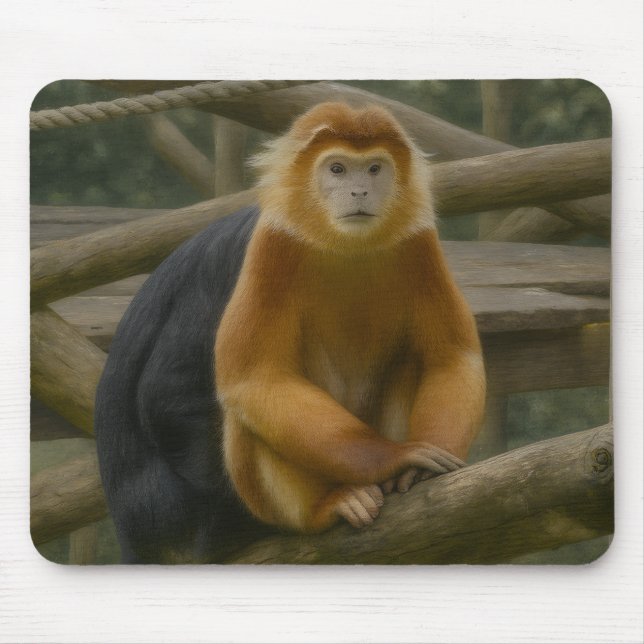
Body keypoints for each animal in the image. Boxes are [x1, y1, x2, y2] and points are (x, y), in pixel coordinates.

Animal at [95, 102, 485, 563]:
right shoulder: (267, 249)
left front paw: (416, 469)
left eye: (374, 169)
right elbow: (224, 385)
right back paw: (330, 505)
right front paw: (398, 457)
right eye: (337, 169)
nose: (359, 192)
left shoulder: (417, 243)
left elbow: (452, 357)